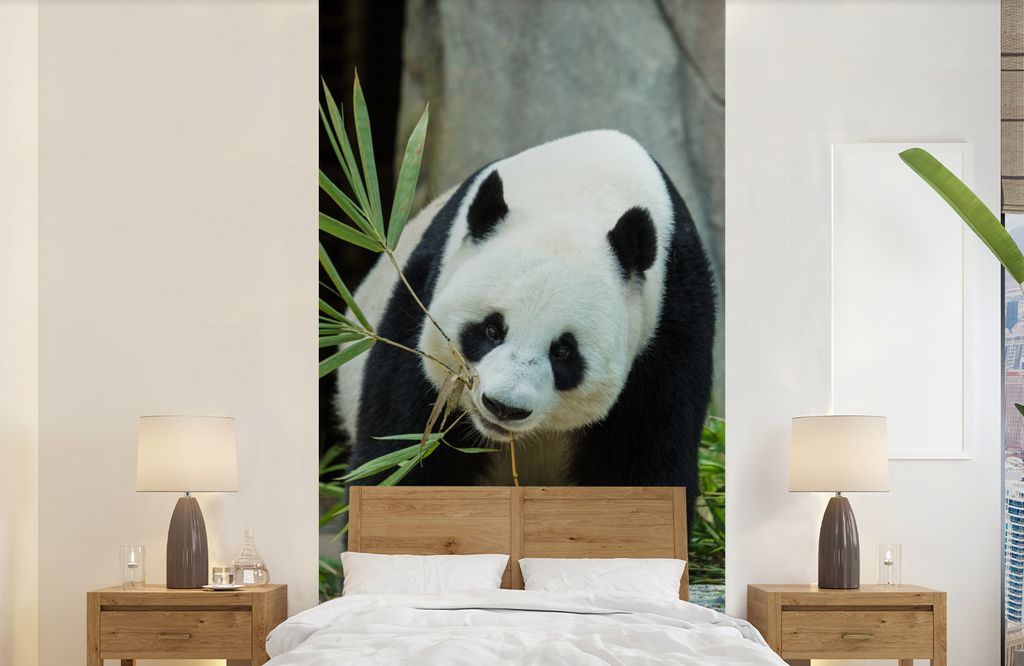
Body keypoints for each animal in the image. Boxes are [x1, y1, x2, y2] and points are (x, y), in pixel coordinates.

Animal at [335, 130, 715, 523]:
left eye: (563, 351)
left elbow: (645, 460)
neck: (576, 197)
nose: (504, 407)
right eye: (491, 330)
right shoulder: (423, 295)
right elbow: (403, 448)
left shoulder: (669, 325)